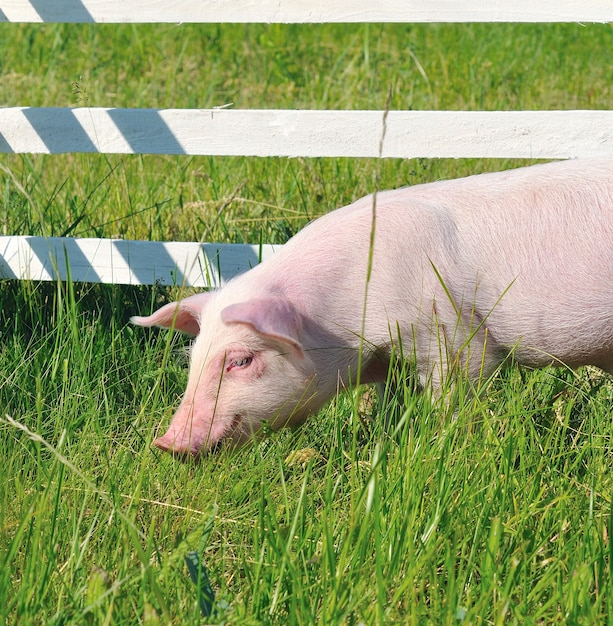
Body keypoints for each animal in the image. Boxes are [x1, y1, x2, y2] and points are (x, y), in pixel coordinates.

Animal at [131, 158, 612, 456]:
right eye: (193, 358)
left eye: (241, 360)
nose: (166, 444)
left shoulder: (456, 338)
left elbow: (454, 397)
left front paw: (439, 446)